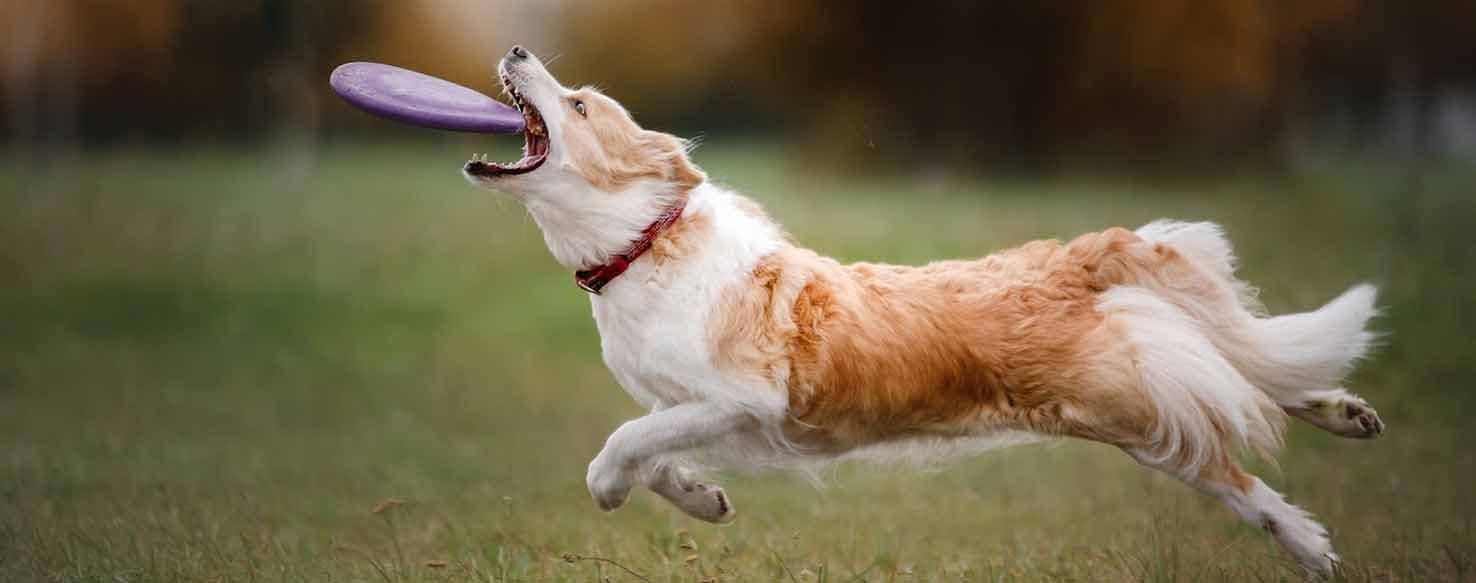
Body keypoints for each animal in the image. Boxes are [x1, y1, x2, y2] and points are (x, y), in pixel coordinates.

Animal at [463, 45, 1381, 575]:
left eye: (580, 104)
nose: (516, 44)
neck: (643, 243)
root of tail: (1066, 258)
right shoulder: (695, 409)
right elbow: (655, 453)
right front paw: (703, 500)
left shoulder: (740, 398)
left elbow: (620, 444)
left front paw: (615, 490)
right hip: (1139, 377)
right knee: (1248, 363)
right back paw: (1345, 411)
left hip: (1125, 408)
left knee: (1230, 454)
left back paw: (1311, 545)